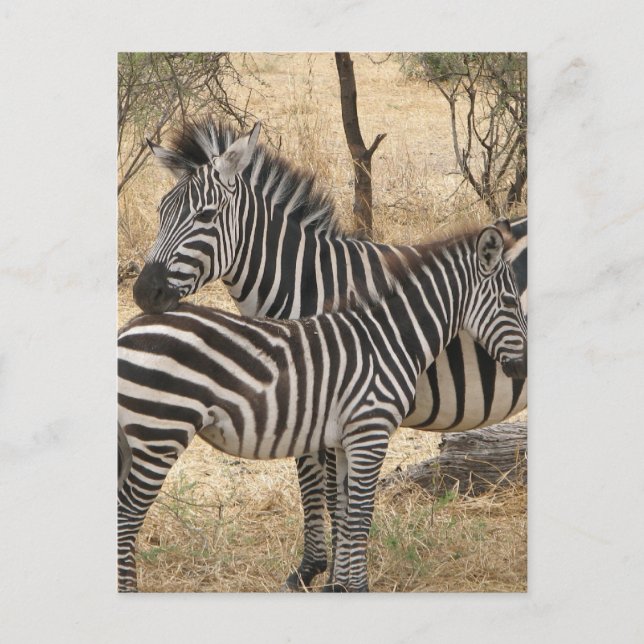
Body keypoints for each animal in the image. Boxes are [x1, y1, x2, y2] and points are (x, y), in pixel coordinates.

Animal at [131, 119, 528, 589]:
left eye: (205, 216)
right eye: (161, 212)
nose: (144, 293)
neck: (311, 284)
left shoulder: (321, 400)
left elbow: (320, 488)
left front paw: (323, 574)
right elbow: (327, 490)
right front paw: (324, 571)